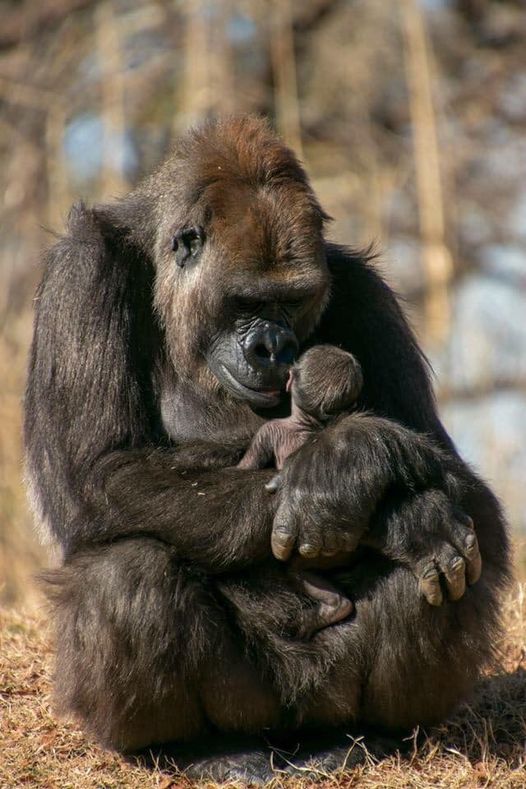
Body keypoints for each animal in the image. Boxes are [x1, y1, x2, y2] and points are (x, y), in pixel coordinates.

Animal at [241, 344, 366, 636]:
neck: (307, 423)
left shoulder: (269, 429)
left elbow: (248, 463)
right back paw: (337, 607)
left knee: (298, 571)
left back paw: (333, 607)